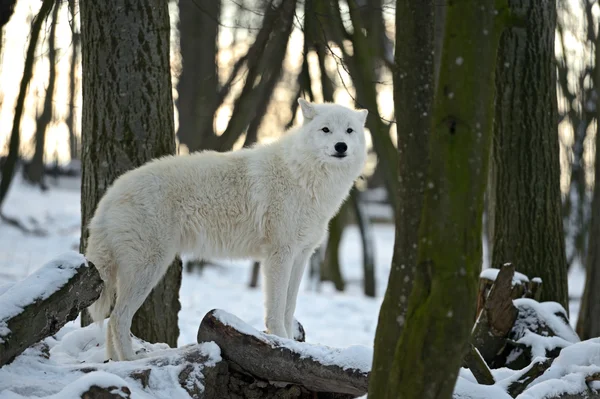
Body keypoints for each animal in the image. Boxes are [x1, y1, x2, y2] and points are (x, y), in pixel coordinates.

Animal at [84, 98, 366, 360]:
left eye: (349, 131)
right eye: (326, 130)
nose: (341, 146)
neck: (304, 175)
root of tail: (111, 193)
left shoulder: (301, 256)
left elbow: (290, 307)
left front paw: (293, 344)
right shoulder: (279, 255)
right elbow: (276, 311)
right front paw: (283, 342)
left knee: (111, 321)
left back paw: (115, 362)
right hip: (148, 268)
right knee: (118, 318)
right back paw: (130, 360)